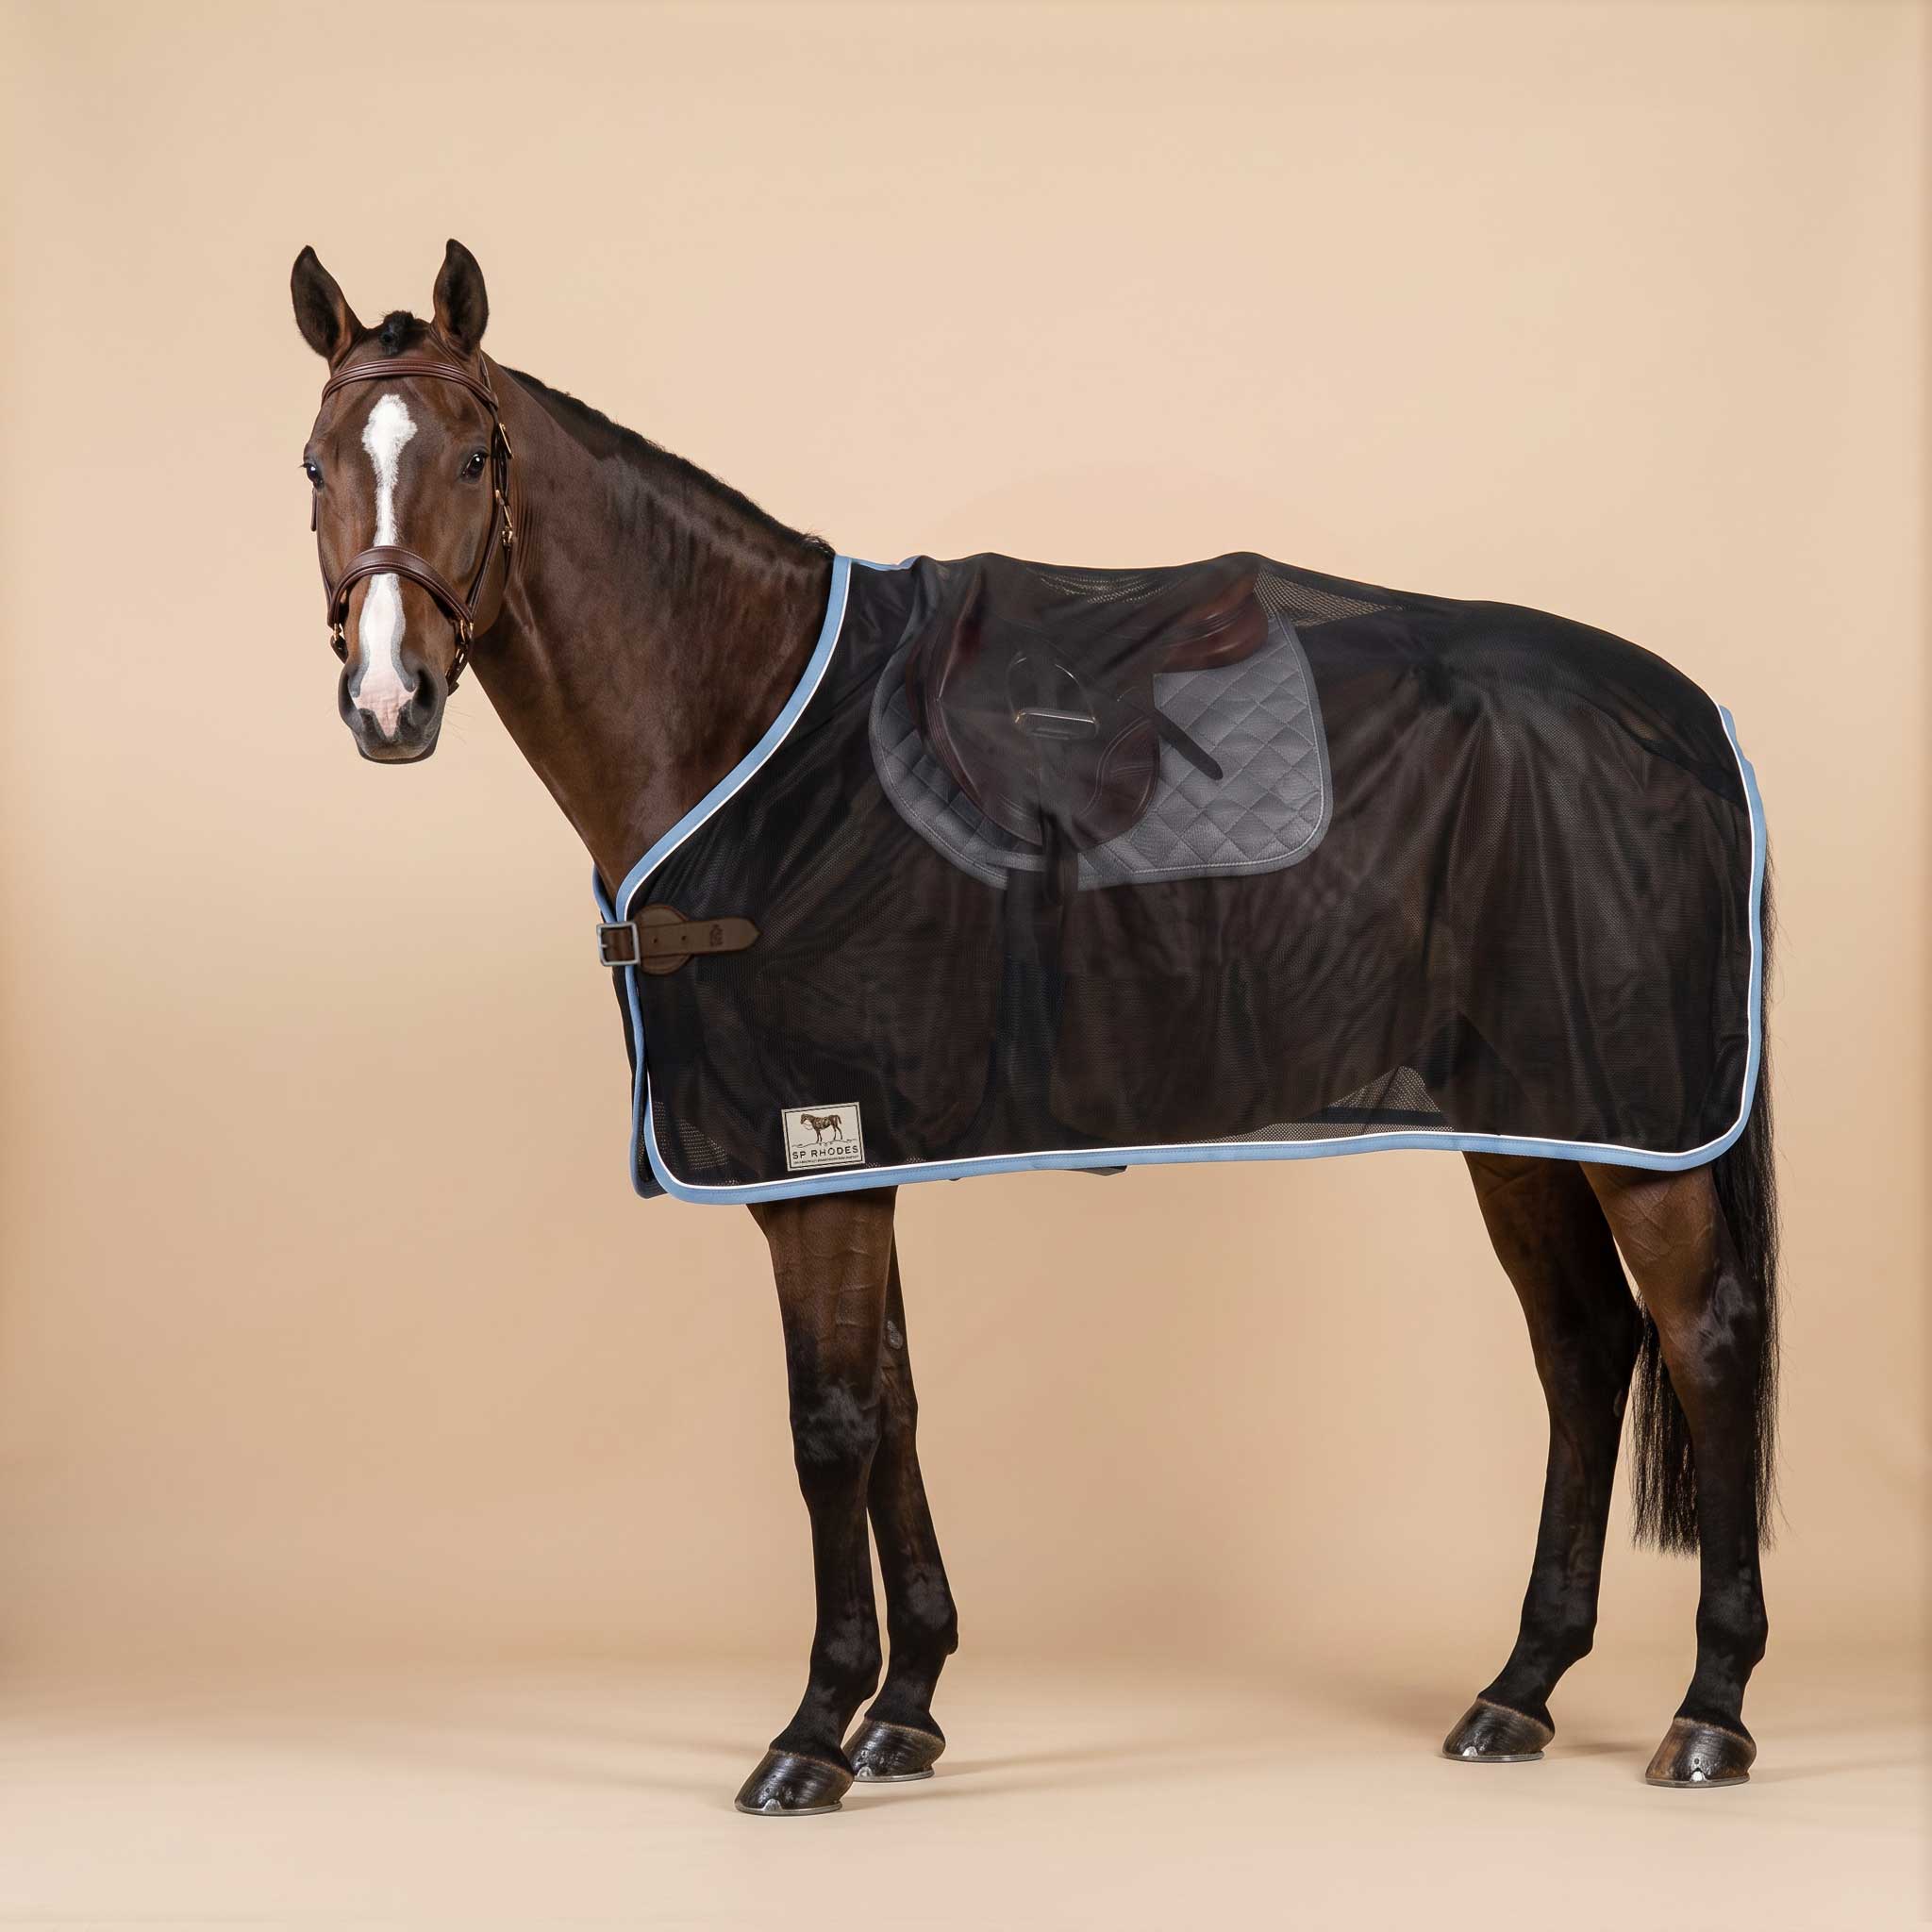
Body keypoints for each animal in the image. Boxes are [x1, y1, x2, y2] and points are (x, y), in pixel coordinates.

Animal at [293, 240, 1778, 1814]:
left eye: (471, 456)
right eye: (316, 464)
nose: (388, 700)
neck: (742, 724)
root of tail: (1693, 717)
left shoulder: (817, 1155)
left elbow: (830, 1425)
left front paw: (810, 1733)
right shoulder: (850, 1157)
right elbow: (894, 1408)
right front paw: (905, 1709)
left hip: (1639, 1125)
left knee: (1706, 1340)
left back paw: (1710, 1711)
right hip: (1526, 1117)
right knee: (1585, 1348)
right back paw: (1520, 1688)